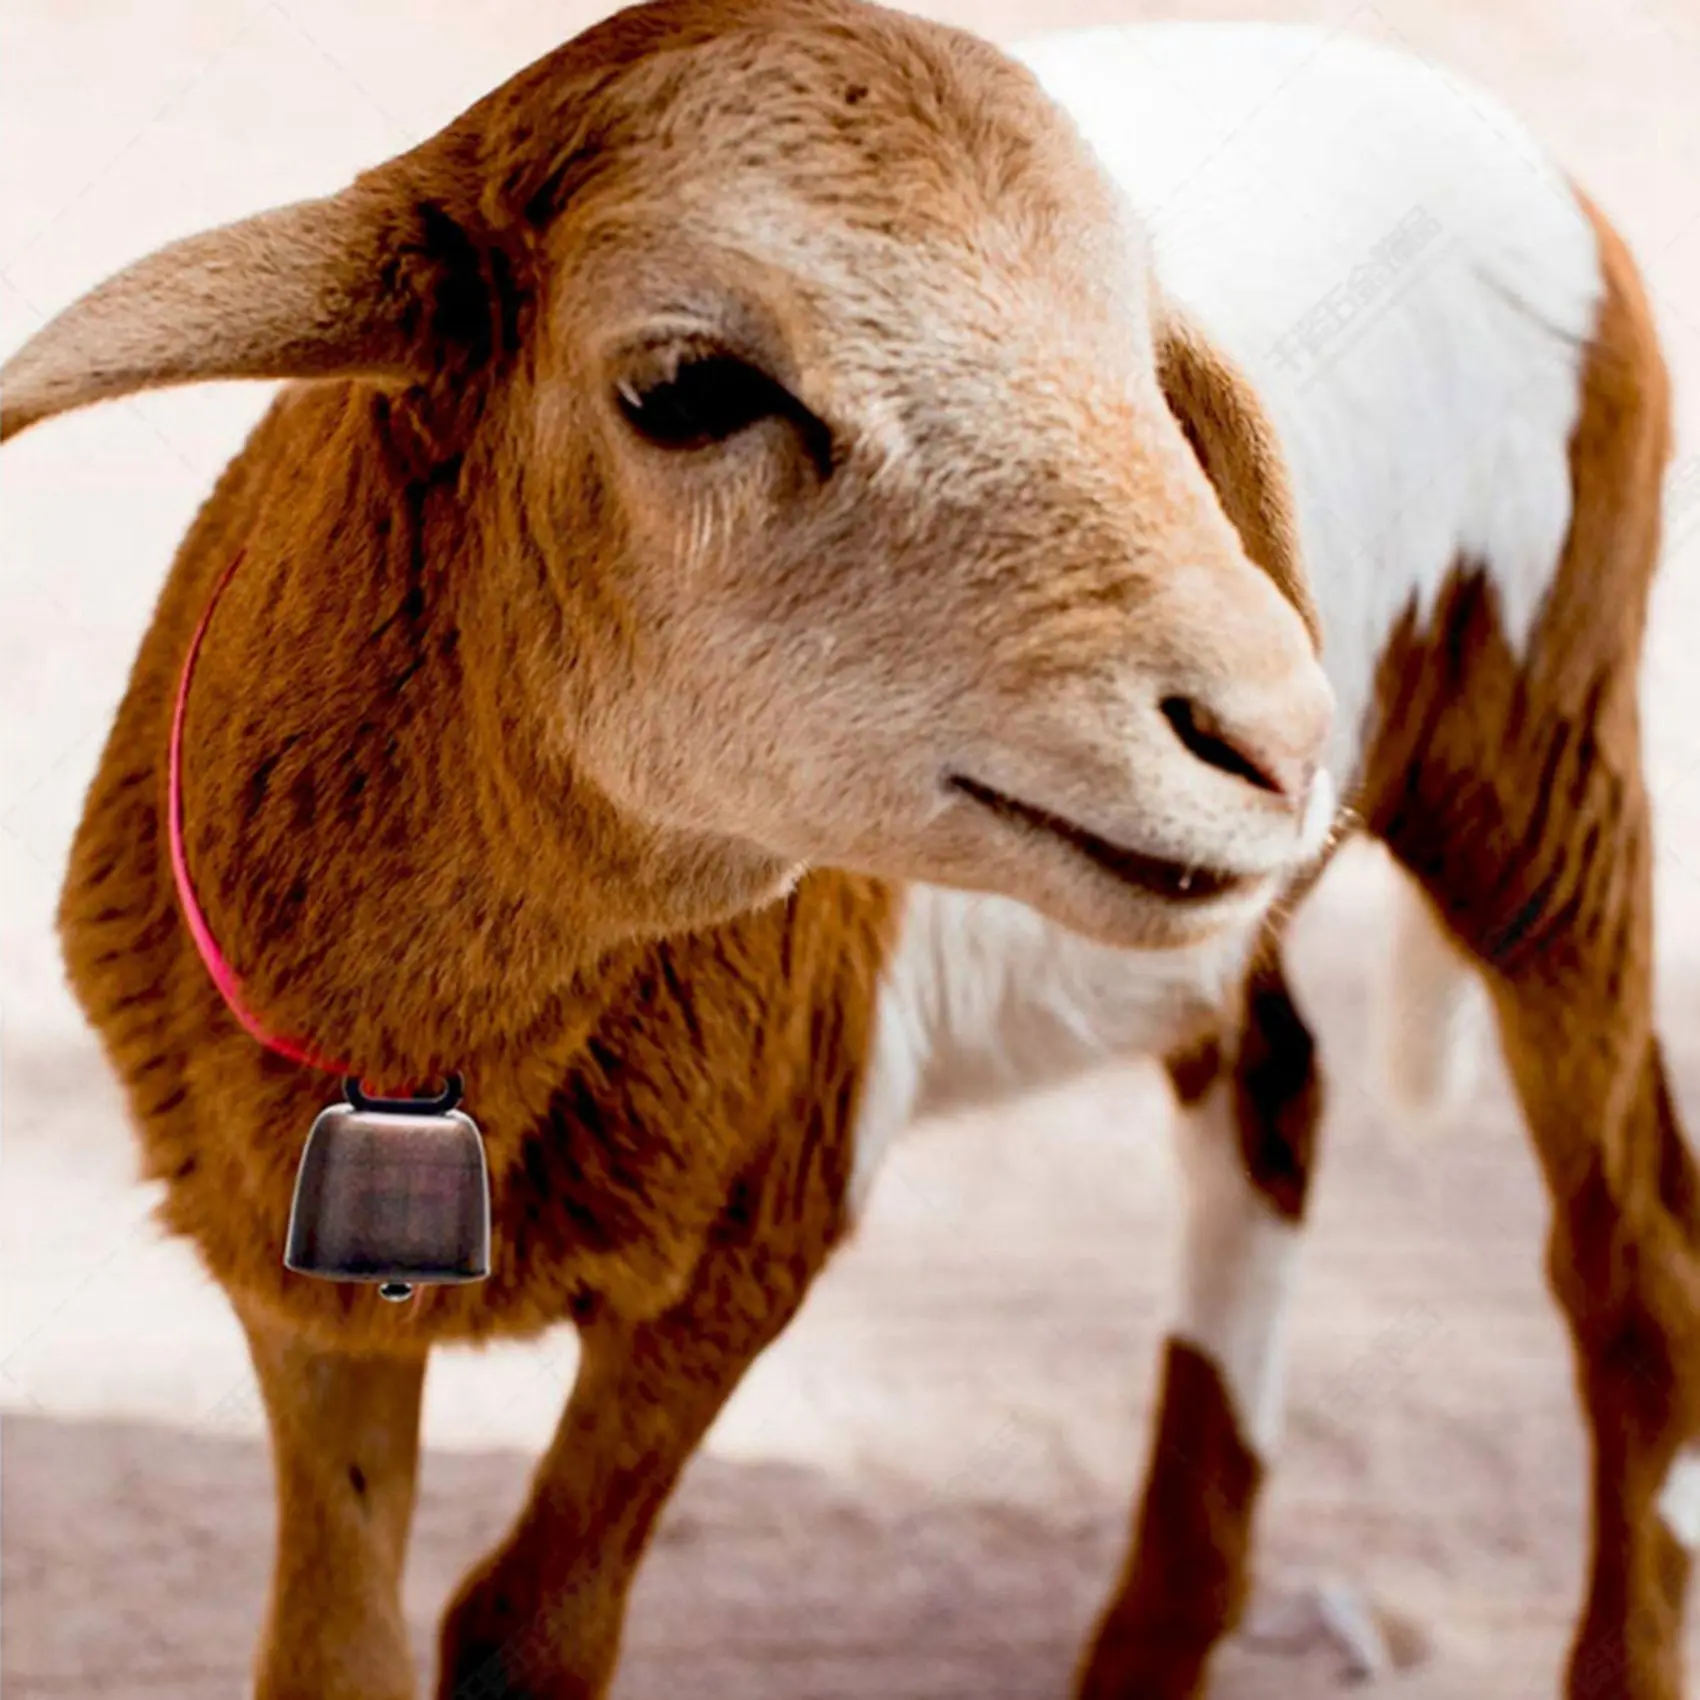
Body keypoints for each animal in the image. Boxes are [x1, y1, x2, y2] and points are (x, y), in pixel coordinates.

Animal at [1, 3, 1691, 1698]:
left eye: (1143, 372)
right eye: (688, 384)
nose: (1280, 737)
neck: (428, 1051)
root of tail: (1468, 111)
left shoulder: (750, 1239)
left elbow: (522, 1625)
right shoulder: (296, 1288)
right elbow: (333, 1641)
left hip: (1545, 757)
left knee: (1634, 1255)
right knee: (1271, 1097)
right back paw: (1156, 1635)